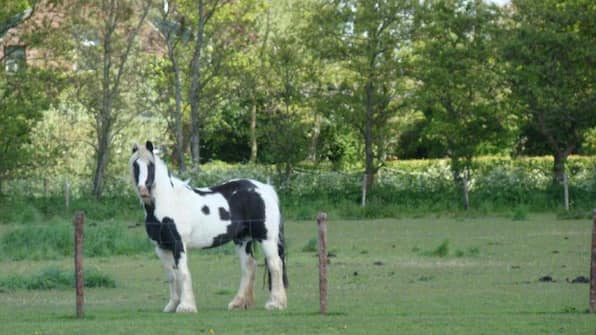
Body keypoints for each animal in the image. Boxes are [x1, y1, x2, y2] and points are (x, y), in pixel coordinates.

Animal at [130, 142, 288, 312]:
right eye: (135, 165)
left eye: (151, 165)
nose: (143, 190)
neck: (168, 201)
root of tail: (265, 189)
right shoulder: (161, 247)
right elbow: (172, 276)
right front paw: (172, 305)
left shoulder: (178, 244)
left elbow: (183, 273)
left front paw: (186, 306)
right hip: (242, 239)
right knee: (249, 267)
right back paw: (238, 303)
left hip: (266, 238)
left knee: (275, 265)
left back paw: (275, 303)